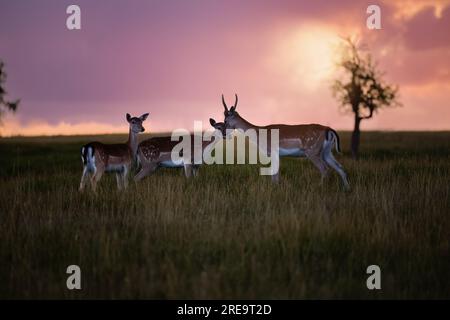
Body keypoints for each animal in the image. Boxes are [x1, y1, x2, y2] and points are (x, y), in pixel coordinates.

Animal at [221, 94, 352, 190]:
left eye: (226, 120)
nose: (223, 133)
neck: (260, 134)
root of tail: (328, 129)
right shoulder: (277, 154)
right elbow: (276, 174)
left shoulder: (273, 152)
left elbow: (274, 174)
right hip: (327, 152)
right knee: (340, 168)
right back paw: (346, 189)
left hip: (312, 151)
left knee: (325, 169)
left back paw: (320, 188)